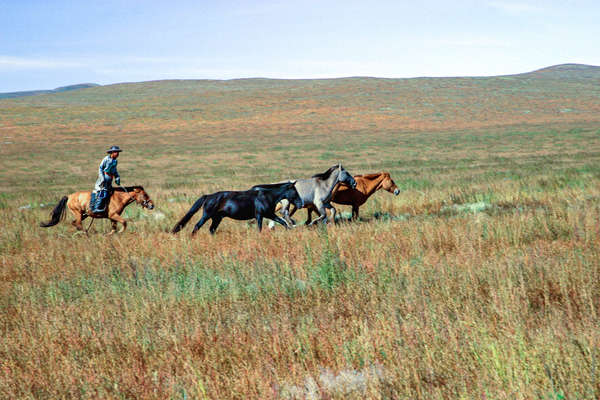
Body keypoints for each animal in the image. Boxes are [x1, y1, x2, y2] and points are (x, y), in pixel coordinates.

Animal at [173, 181, 304, 234]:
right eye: (294, 191)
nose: (301, 204)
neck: (266, 196)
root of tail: (208, 196)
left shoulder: (269, 214)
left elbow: (283, 222)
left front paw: (289, 230)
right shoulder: (260, 215)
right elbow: (260, 228)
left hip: (217, 218)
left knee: (212, 229)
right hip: (207, 215)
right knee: (197, 226)